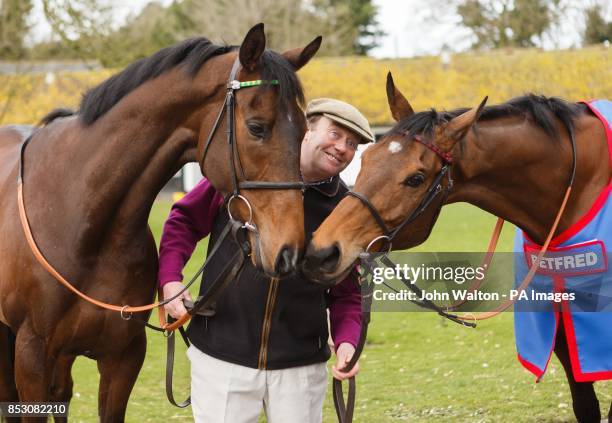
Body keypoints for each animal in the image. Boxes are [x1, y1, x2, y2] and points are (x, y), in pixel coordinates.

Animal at [0, 24, 320, 423]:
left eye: (305, 130)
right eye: (257, 127)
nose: (289, 251)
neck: (81, 220)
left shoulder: (123, 357)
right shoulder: (31, 355)